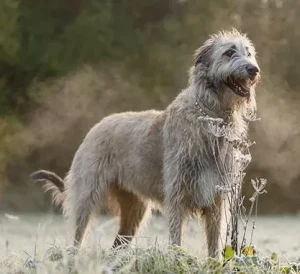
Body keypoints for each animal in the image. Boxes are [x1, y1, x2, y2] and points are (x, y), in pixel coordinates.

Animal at [29, 30, 260, 260]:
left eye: (248, 53)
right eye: (229, 52)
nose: (254, 69)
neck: (212, 116)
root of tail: (95, 128)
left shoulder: (217, 199)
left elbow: (215, 242)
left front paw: (214, 263)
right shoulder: (177, 195)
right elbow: (176, 238)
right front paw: (176, 260)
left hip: (134, 209)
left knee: (118, 244)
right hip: (87, 194)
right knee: (79, 233)